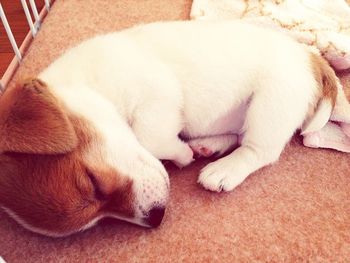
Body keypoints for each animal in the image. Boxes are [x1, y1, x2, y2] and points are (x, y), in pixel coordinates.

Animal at [1, 20, 348, 237]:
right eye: (96, 221)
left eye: (94, 183)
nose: (156, 218)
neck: (87, 83)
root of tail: (310, 56)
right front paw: (184, 152)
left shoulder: (157, 94)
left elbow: (149, 137)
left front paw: (179, 155)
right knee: (238, 135)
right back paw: (210, 145)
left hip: (270, 103)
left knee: (259, 150)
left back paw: (223, 169)